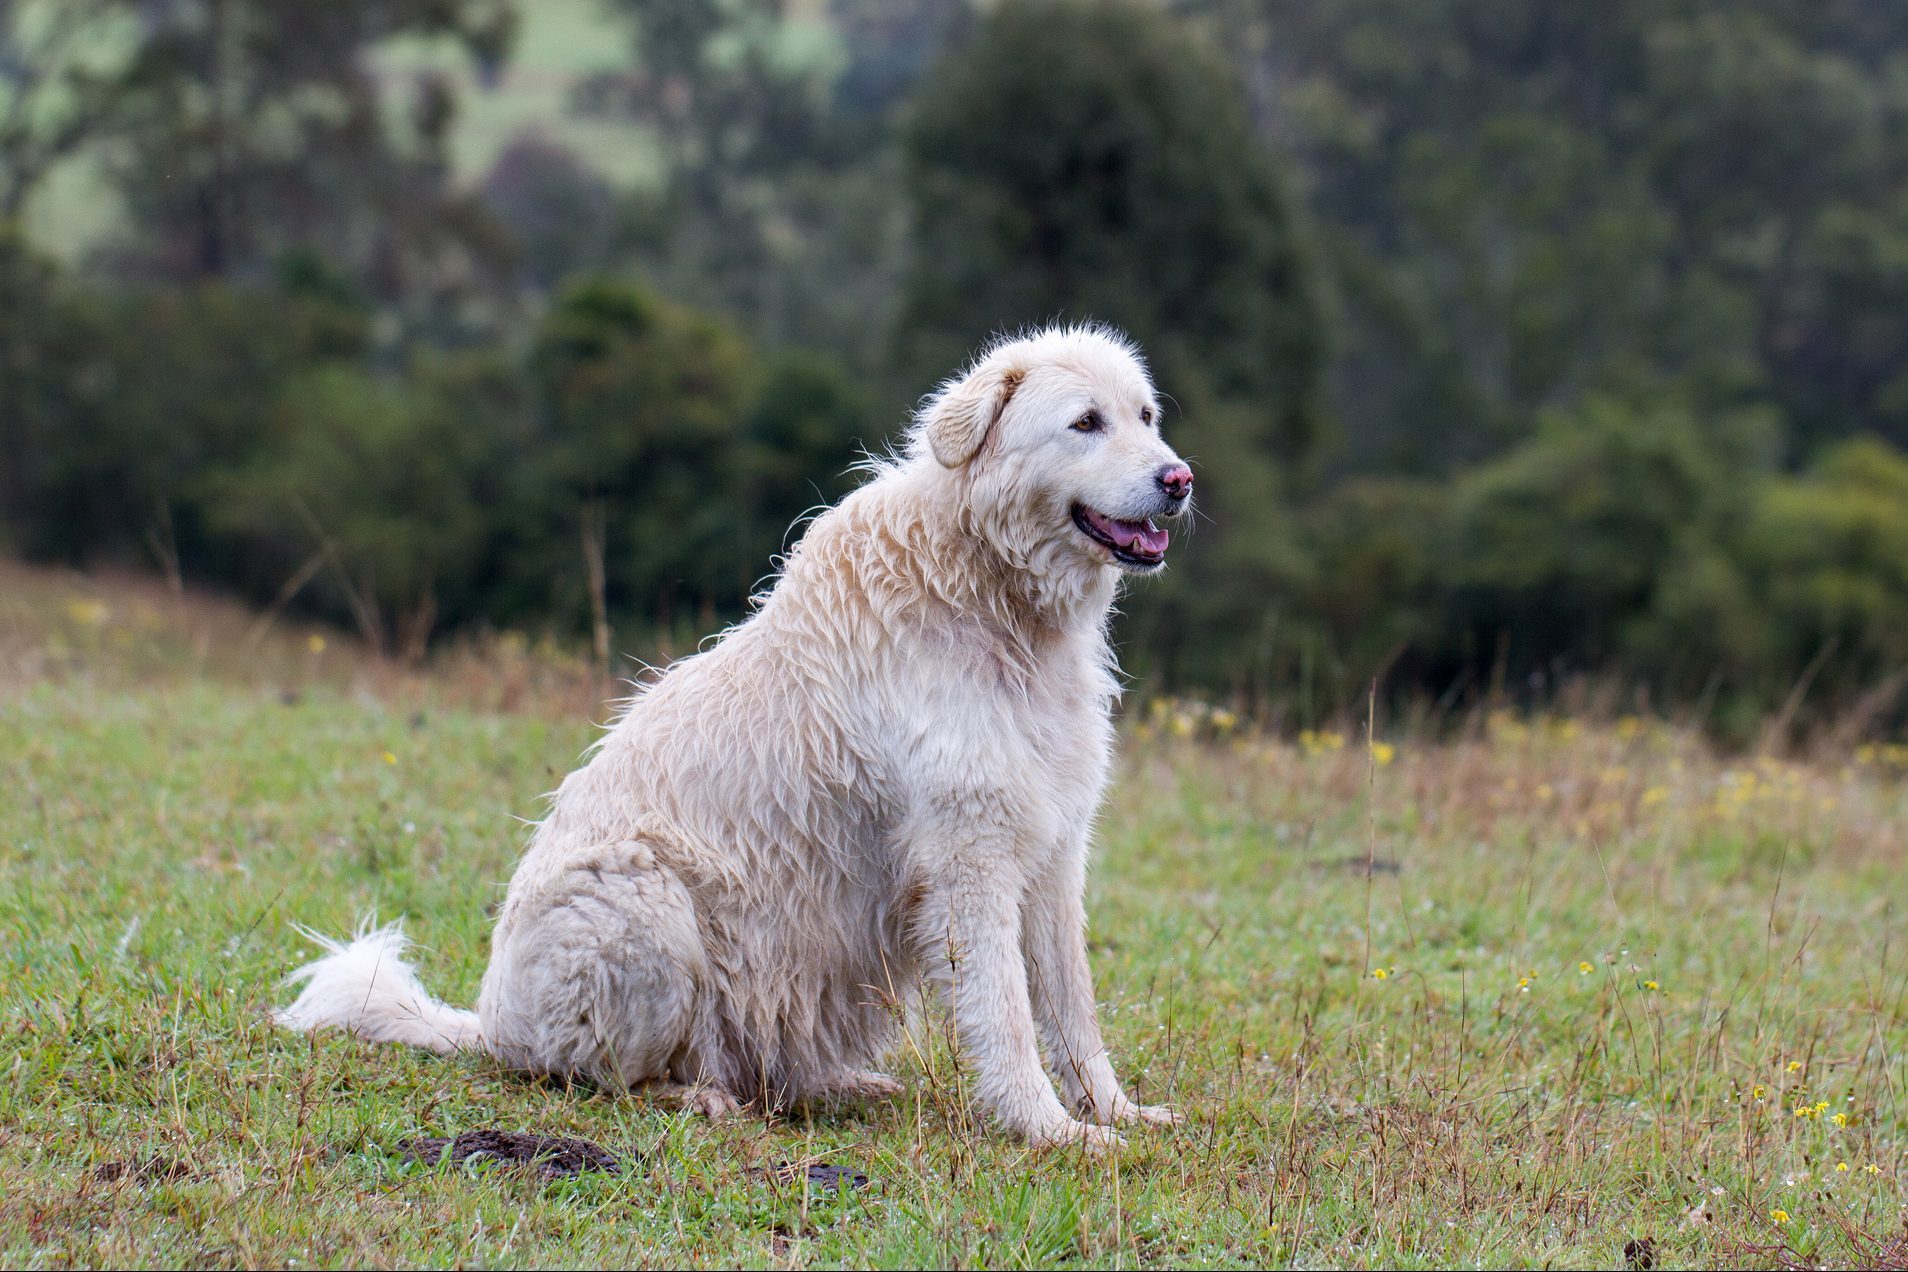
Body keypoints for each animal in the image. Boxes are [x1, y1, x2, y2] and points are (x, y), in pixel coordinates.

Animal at [272, 324, 1190, 1151]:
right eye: (1085, 423)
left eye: (1145, 416)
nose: (1178, 479)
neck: (994, 595)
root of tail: (491, 1025)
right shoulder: (973, 857)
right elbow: (1007, 1015)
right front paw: (1050, 1130)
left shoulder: (1053, 851)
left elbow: (1072, 1008)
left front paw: (1115, 1113)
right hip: (644, 899)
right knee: (599, 1075)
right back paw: (698, 1099)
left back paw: (842, 1084)